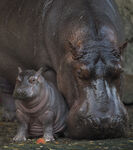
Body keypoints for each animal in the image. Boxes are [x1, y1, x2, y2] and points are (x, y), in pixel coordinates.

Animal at [0, 0, 129, 138]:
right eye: (79, 73)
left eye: (119, 71)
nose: (104, 122)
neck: (95, 40)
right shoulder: (48, 68)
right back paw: (10, 116)